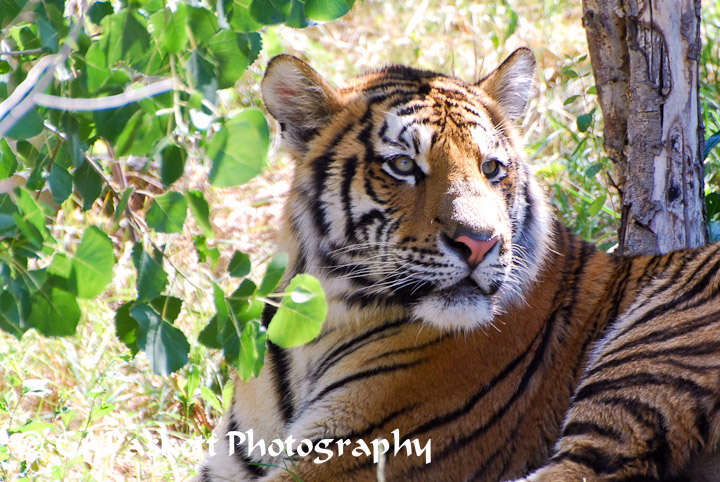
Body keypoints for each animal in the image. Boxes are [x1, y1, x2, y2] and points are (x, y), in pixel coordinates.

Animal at [198, 48, 720, 482]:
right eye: (403, 166)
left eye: (491, 169)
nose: (479, 242)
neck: (318, 322)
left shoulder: (354, 457)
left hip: (650, 353)